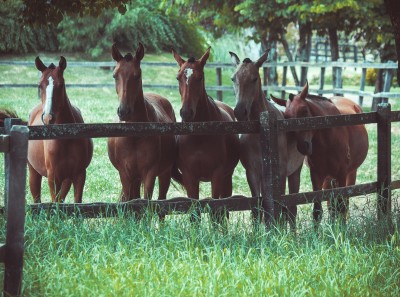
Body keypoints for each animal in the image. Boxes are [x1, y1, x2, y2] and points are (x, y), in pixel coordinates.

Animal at [28, 56, 93, 202]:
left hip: (66, 180)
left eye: (61, 85)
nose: (48, 117)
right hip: (34, 173)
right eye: (39, 85)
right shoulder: (53, 178)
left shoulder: (79, 175)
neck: (65, 136)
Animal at [108, 43, 177, 201]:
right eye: (115, 75)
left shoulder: (150, 174)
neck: (135, 135)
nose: (123, 111)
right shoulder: (125, 174)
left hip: (164, 173)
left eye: (137, 75)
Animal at [171, 46, 239, 220]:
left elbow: (216, 211)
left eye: (200, 77)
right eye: (178, 78)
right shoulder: (189, 177)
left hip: (227, 177)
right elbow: (194, 213)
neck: (199, 135)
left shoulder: (217, 175)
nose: (186, 113)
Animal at [228, 51, 304, 227]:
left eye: (255, 78)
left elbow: (280, 208)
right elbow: (257, 208)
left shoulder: (280, 173)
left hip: (295, 172)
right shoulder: (252, 172)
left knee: (292, 208)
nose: (239, 112)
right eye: (233, 78)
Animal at [272, 82, 368, 223]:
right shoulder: (317, 175)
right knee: (331, 204)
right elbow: (318, 210)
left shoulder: (342, 174)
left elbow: (341, 206)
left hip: (350, 173)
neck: (328, 139)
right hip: (329, 178)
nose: (303, 146)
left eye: (305, 111)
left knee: (344, 203)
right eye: (287, 117)